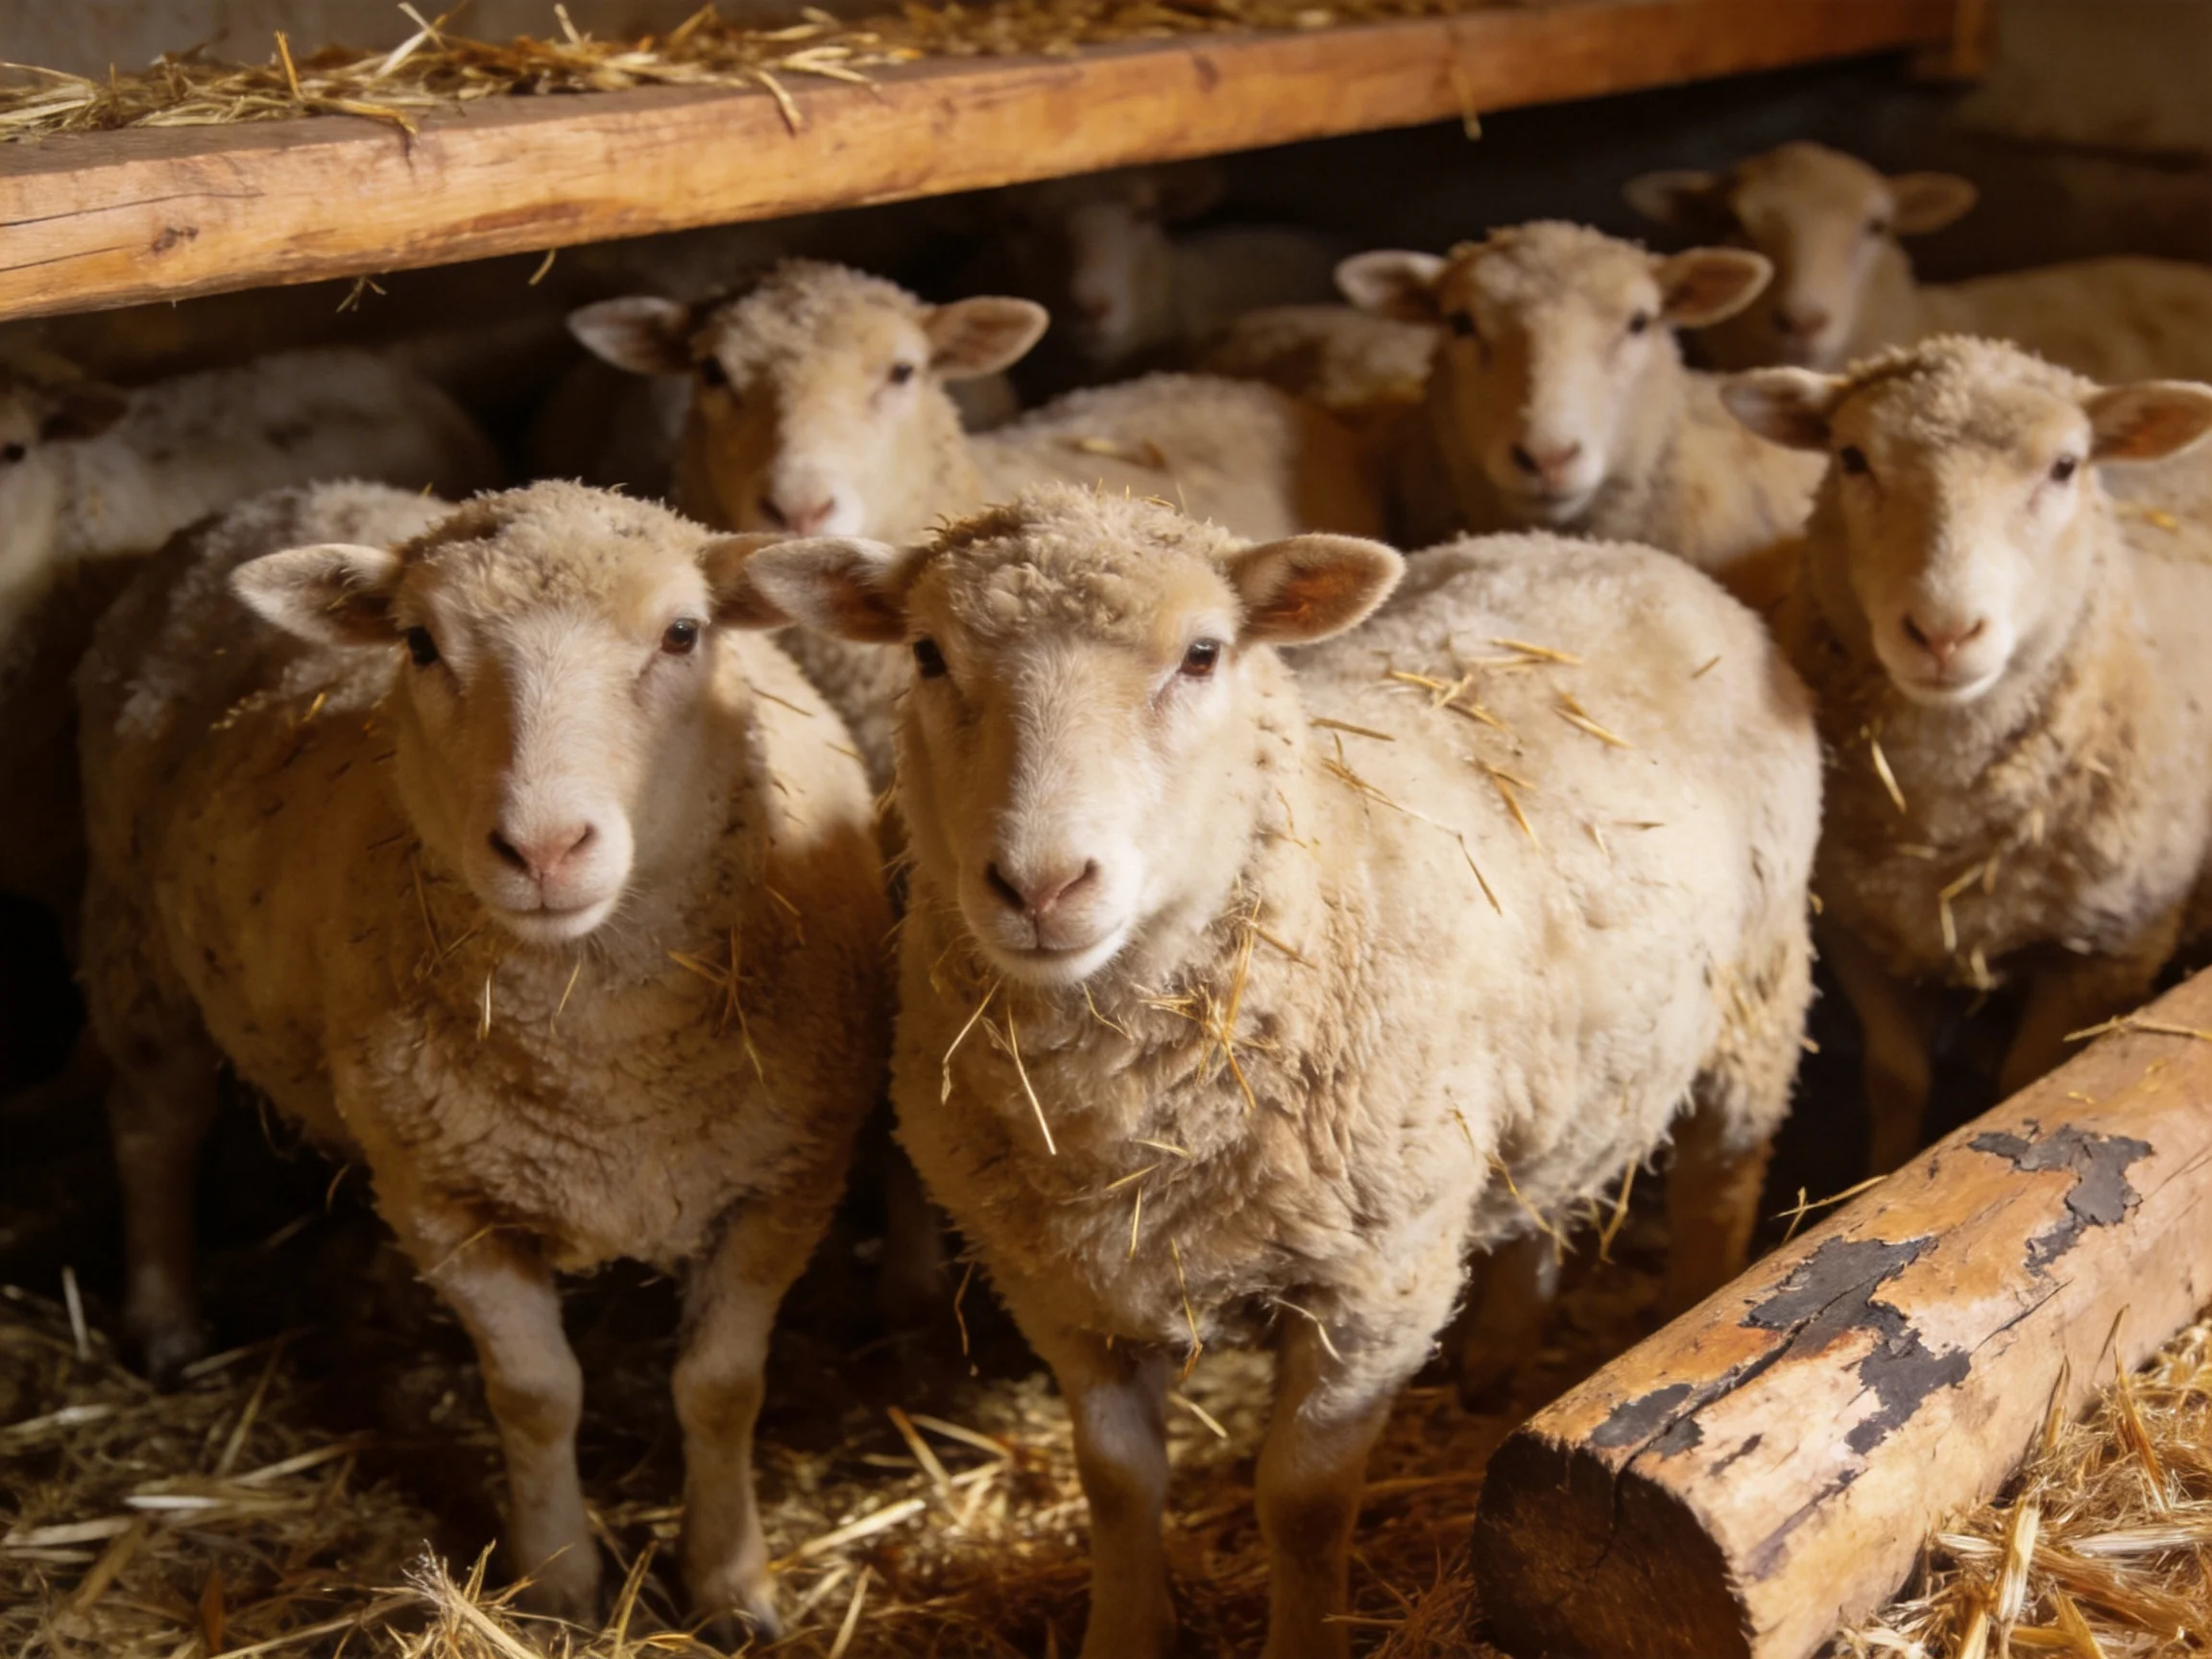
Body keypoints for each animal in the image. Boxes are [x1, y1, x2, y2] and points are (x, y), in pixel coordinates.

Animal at [76, 479, 892, 1634]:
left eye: (683, 633)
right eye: (421, 642)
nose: (544, 849)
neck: (603, 1062)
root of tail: (278, 495)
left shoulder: (787, 1180)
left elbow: (722, 1387)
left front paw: (731, 1583)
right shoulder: (446, 1198)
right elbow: (538, 1394)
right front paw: (557, 1578)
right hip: (139, 942)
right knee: (154, 1127)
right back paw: (162, 1322)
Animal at [723, 482, 1822, 1659]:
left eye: (1203, 654)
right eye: (928, 653)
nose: (1040, 886)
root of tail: (1623, 556)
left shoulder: (1376, 1284)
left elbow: (1301, 1500)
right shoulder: (1058, 1286)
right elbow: (1115, 1481)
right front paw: (1124, 1634)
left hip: (1758, 998)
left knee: (1718, 1183)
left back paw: (1698, 1318)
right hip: (1562, 1070)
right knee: (1545, 1195)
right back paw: (1495, 1361)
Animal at [1721, 335, 2212, 1172]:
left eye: (2065, 466)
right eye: (1852, 457)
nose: (1943, 632)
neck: (1942, 826)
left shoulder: (2110, 949)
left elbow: (2024, 1081)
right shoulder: (1858, 930)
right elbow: (1896, 1078)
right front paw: (1883, 1171)